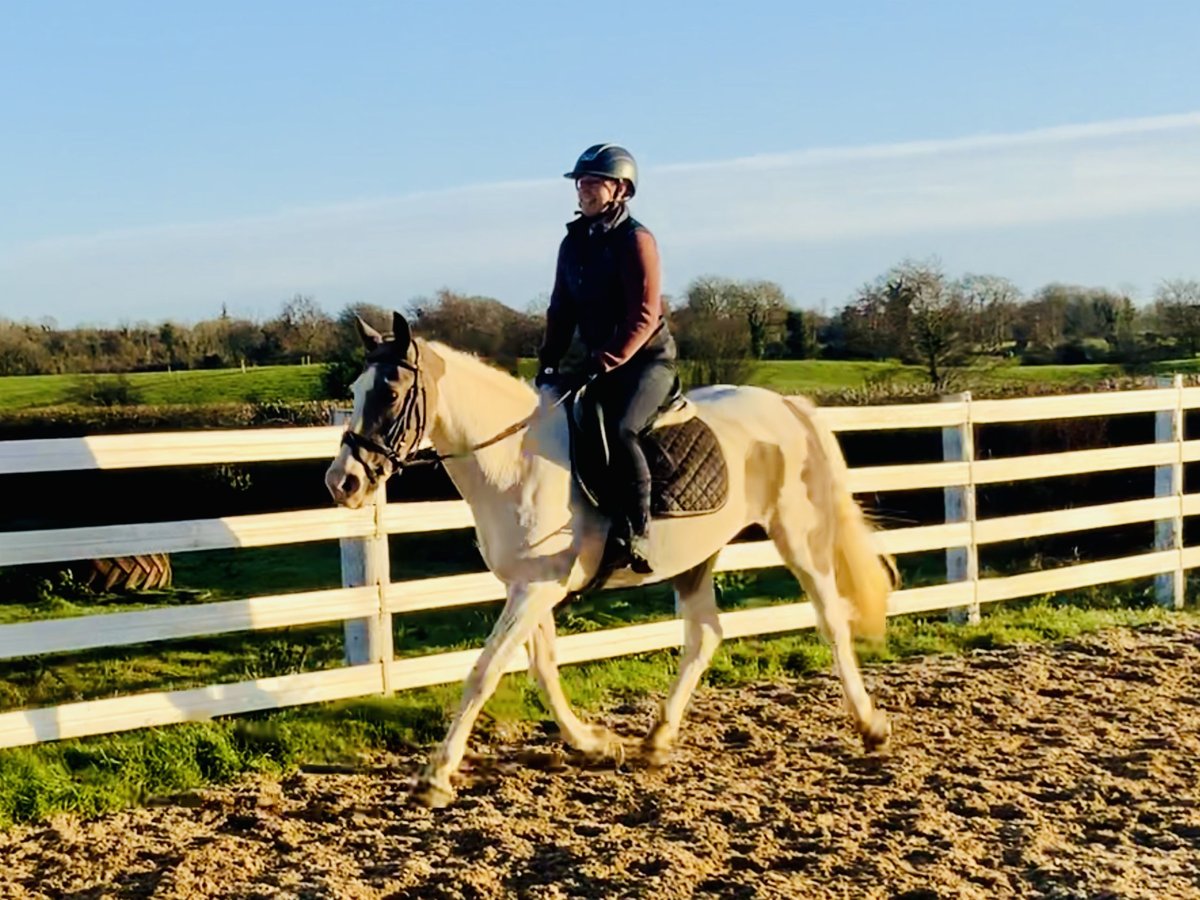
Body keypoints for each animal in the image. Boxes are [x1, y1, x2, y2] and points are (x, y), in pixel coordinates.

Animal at [324, 312, 897, 811]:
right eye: (353, 391)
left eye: (390, 393)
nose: (342, 483)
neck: (514, 462)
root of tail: (787, 405)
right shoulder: (530, 585)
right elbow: (543, 668)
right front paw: (594, 743)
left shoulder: (537, 588)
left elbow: (485, 673)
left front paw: (435, 777)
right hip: (696, 557)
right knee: (706, 636)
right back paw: (657, 740)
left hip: (799, 535)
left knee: (831, 619)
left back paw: (870, 725)